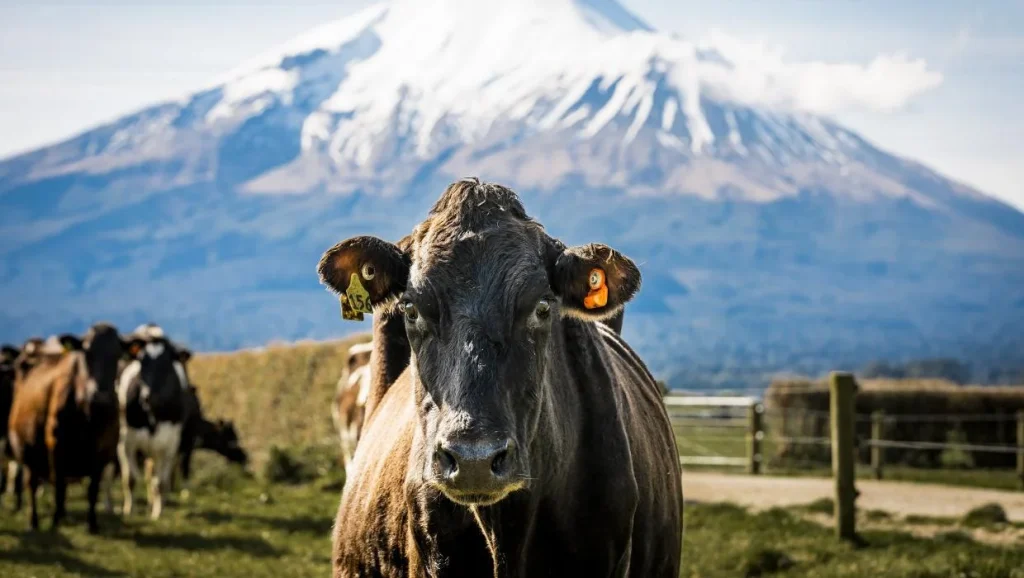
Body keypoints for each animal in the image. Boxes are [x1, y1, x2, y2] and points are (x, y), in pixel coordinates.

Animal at [5, 325, 125, 532]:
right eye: (86, 353)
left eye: (117, 355)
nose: (100, 397)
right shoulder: (55, 445)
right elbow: (59, 486)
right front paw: (55, 521)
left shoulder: (102, 453)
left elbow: (92, 489)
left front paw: (92, 524)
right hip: (27, 453)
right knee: (31, 484)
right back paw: (33, 521)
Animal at [116, 325, 190, 518]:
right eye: (142, 363)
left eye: (166, 366)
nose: (148, 396)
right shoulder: (125, 442)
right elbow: (130, 478)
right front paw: (129, 509)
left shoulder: (169, 445)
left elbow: (161, 482)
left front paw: (157, 512)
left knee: (155, 475)